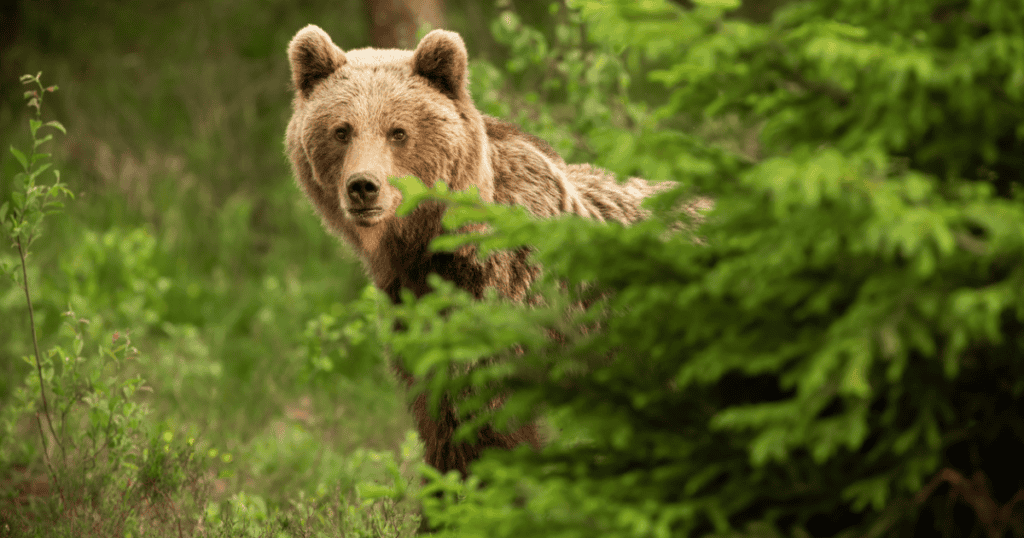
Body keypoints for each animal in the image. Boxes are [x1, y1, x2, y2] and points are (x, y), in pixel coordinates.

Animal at [288, 24, 671, 473]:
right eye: (342, 130)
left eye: (397, 131)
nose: (363, 186)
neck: (430, 246)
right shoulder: (414, 311)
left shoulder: (507, 299)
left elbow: (484, 422)